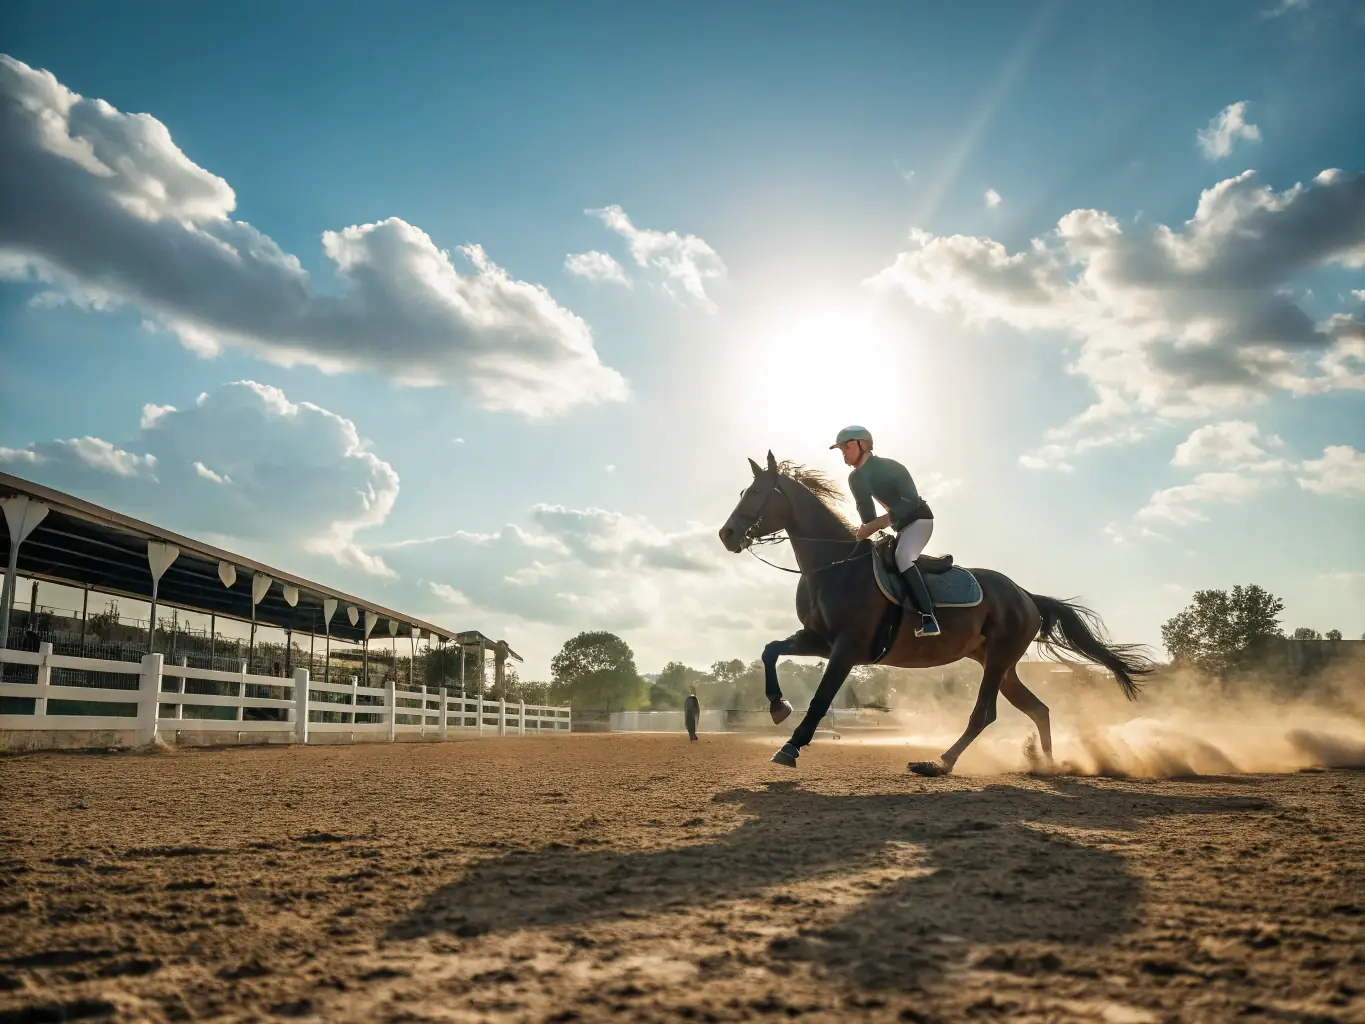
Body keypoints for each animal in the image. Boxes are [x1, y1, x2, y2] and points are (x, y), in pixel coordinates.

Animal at [717, 452, 1152, 775]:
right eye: (742, 490)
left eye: (757, 491)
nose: (726, 535)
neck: (831, 566)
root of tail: (1025, 594)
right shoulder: (818, 640)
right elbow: (770, 650)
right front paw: (778, 707)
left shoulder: (846, 648)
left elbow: (822, 699)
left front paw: (790, 746)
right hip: (1000, 664)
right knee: (1037, 708)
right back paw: (1048, 765)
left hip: (998, 659)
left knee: (985, 714)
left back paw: (939, 762)